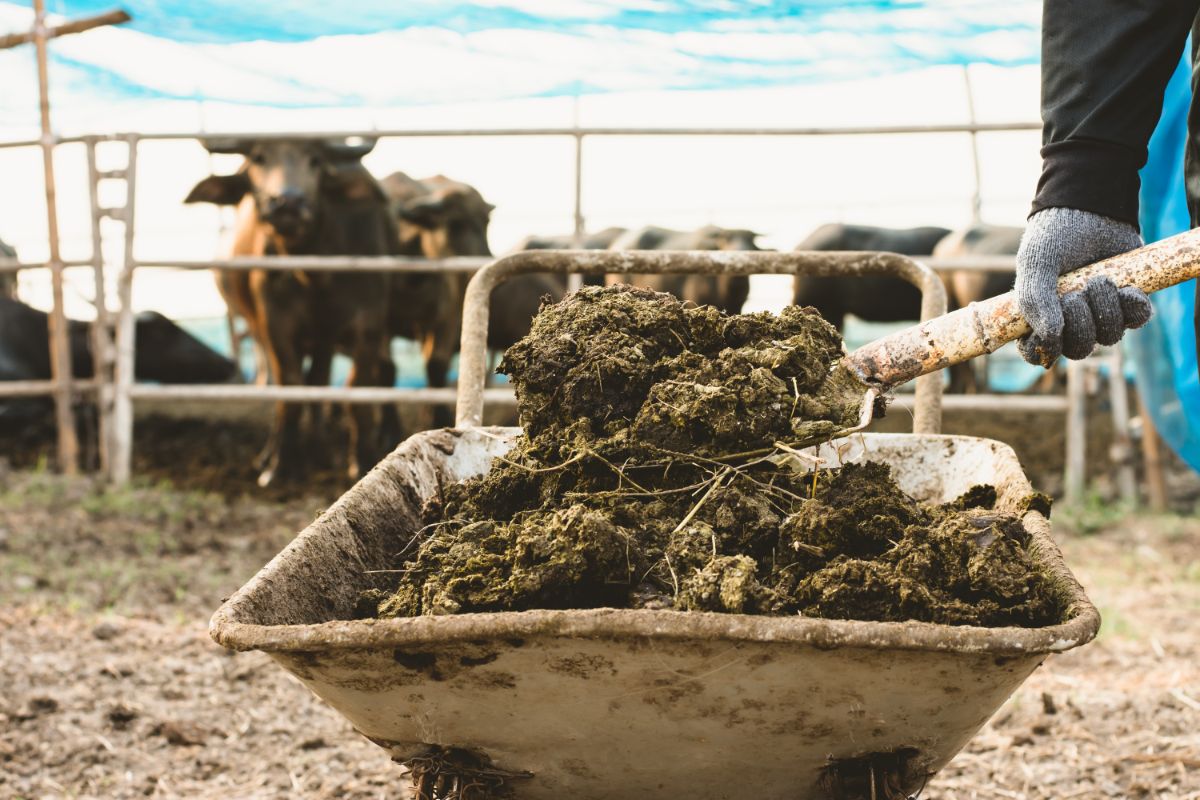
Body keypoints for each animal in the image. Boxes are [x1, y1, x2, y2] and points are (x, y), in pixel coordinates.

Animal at [184, 138, 396, 489]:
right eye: (258, 158)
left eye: (316, 160)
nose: (288, 202)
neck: (316, 271)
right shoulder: (275, 325)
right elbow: (291, 389)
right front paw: (280, 466)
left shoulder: (368, 324)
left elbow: (357, 390)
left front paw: (363, 460)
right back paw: (273, 454)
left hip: (325, 340)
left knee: (319, 382)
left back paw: (321, 450)